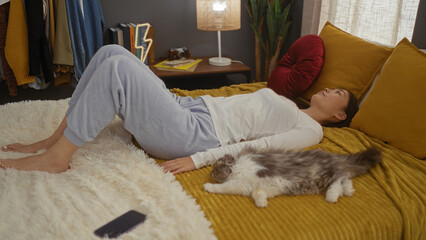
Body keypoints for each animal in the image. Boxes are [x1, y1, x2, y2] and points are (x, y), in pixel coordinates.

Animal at [204, 147, 382, 207]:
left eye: (215, 169)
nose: (211, 174)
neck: (236, 167)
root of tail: (335, 156)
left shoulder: (240, 183)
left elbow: (223, 187)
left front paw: (208, 186)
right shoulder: (260, 187)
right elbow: (258, 193)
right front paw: (262, 203)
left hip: (322, 174)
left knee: (338, 180)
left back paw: (332, 196)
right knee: (345, 178)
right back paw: (348, 191)